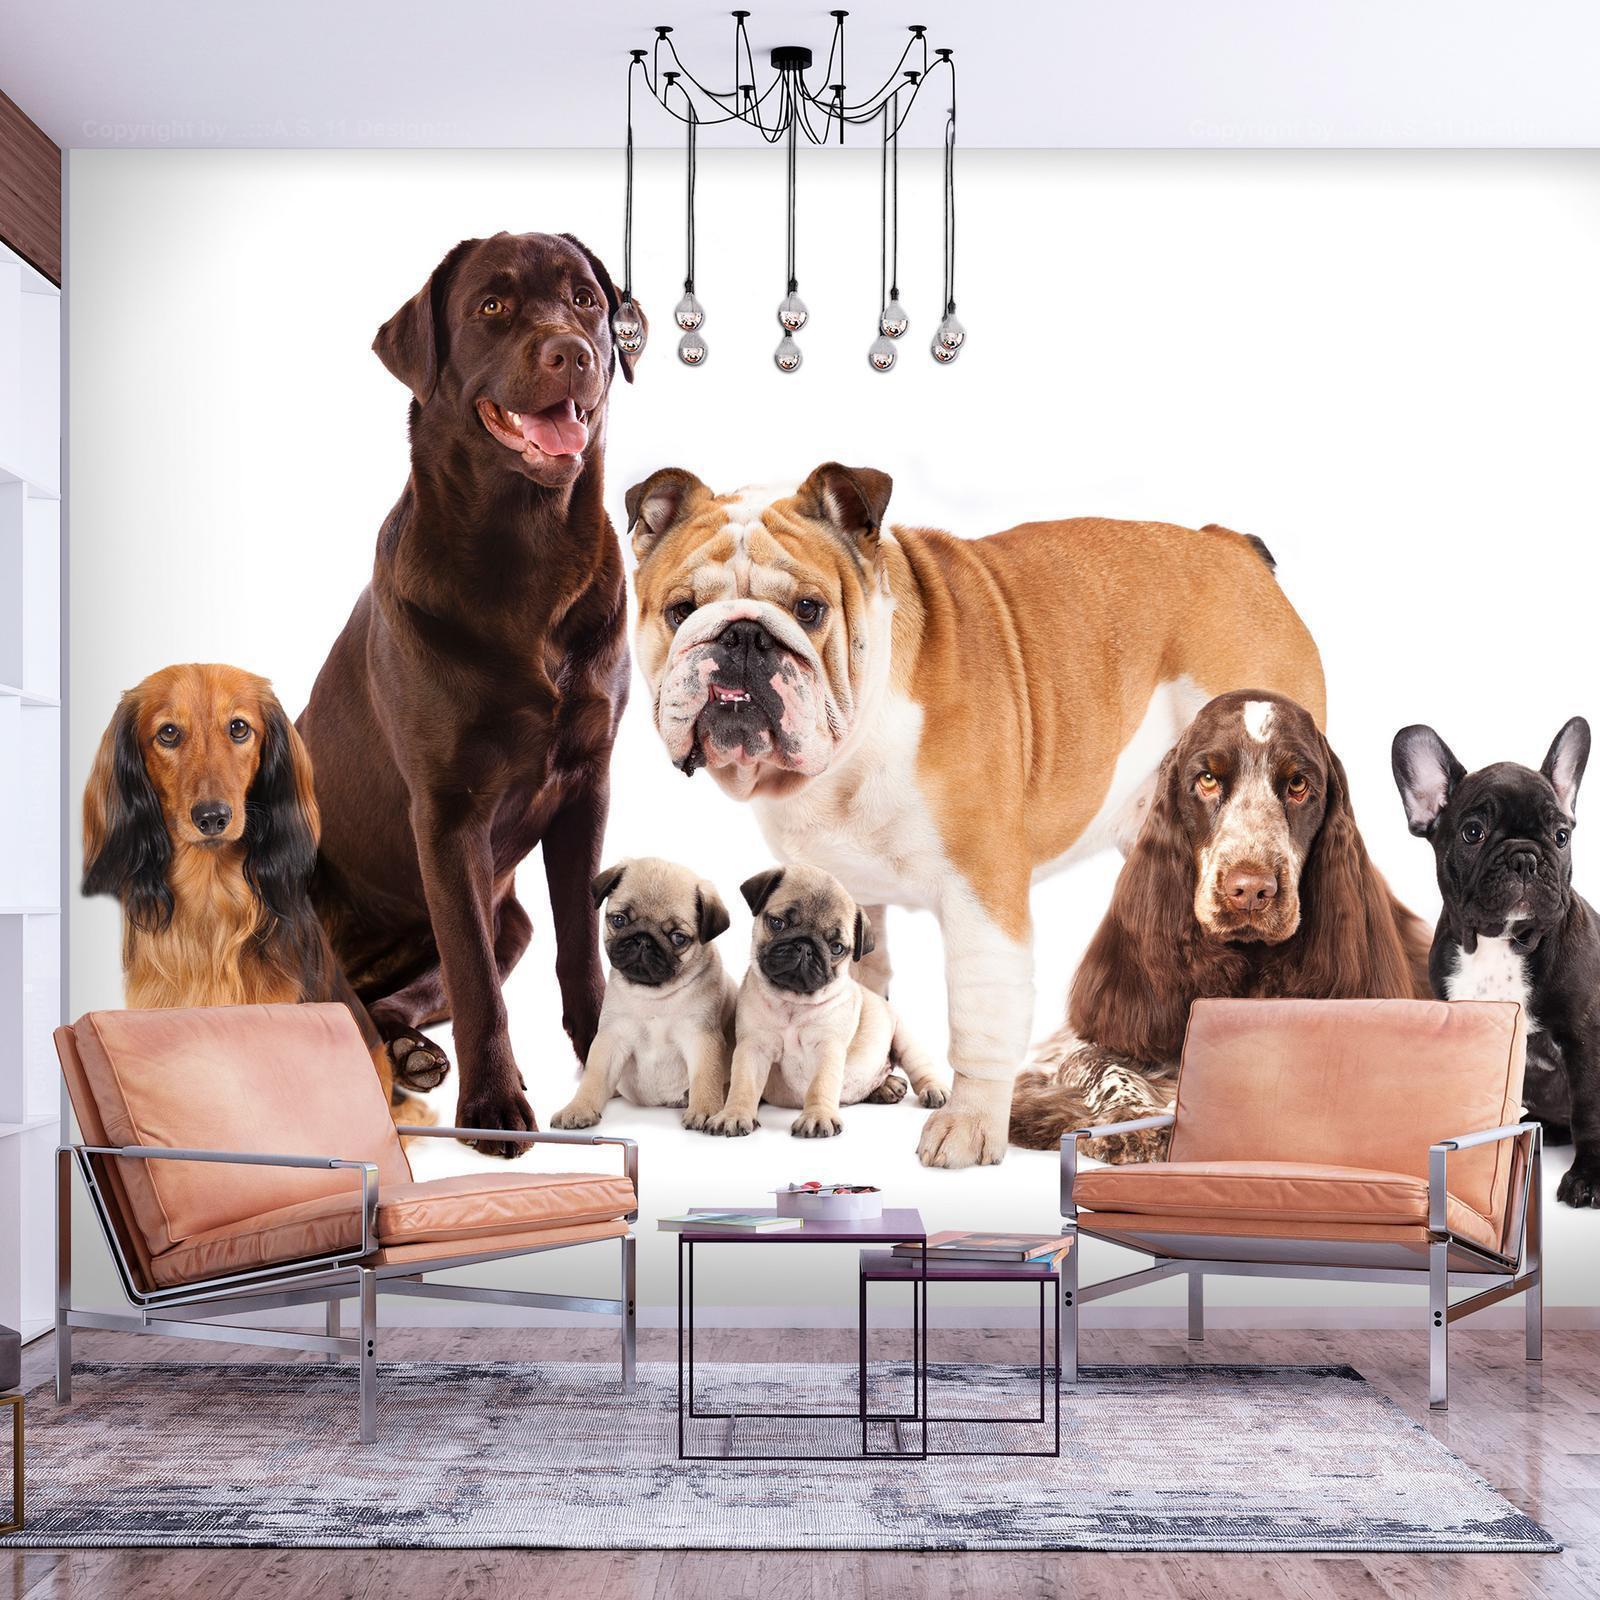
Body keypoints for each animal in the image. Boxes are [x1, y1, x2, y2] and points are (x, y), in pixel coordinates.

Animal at [553, 857, 732, 1132]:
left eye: (678, 938)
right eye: (619, 920)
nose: (643, 940)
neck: (653, 996)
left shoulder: (702, 1037)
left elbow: (706, 1077)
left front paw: (704, 1110)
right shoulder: (611, 1038)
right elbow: (594, 1077)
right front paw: (578, 1108)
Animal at [704, 864, 947, 1139]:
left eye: (836, 947)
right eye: (777, 923)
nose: (804, 946)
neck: (792, 1004)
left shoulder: (828, 1047)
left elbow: (821, 1085)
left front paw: (817, 1117)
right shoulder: (753, 1046)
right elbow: (743, 1084)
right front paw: (734, 1115)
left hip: (904, 1038)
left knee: (919, 1067)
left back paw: (930, 1090)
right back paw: (886, 1087)